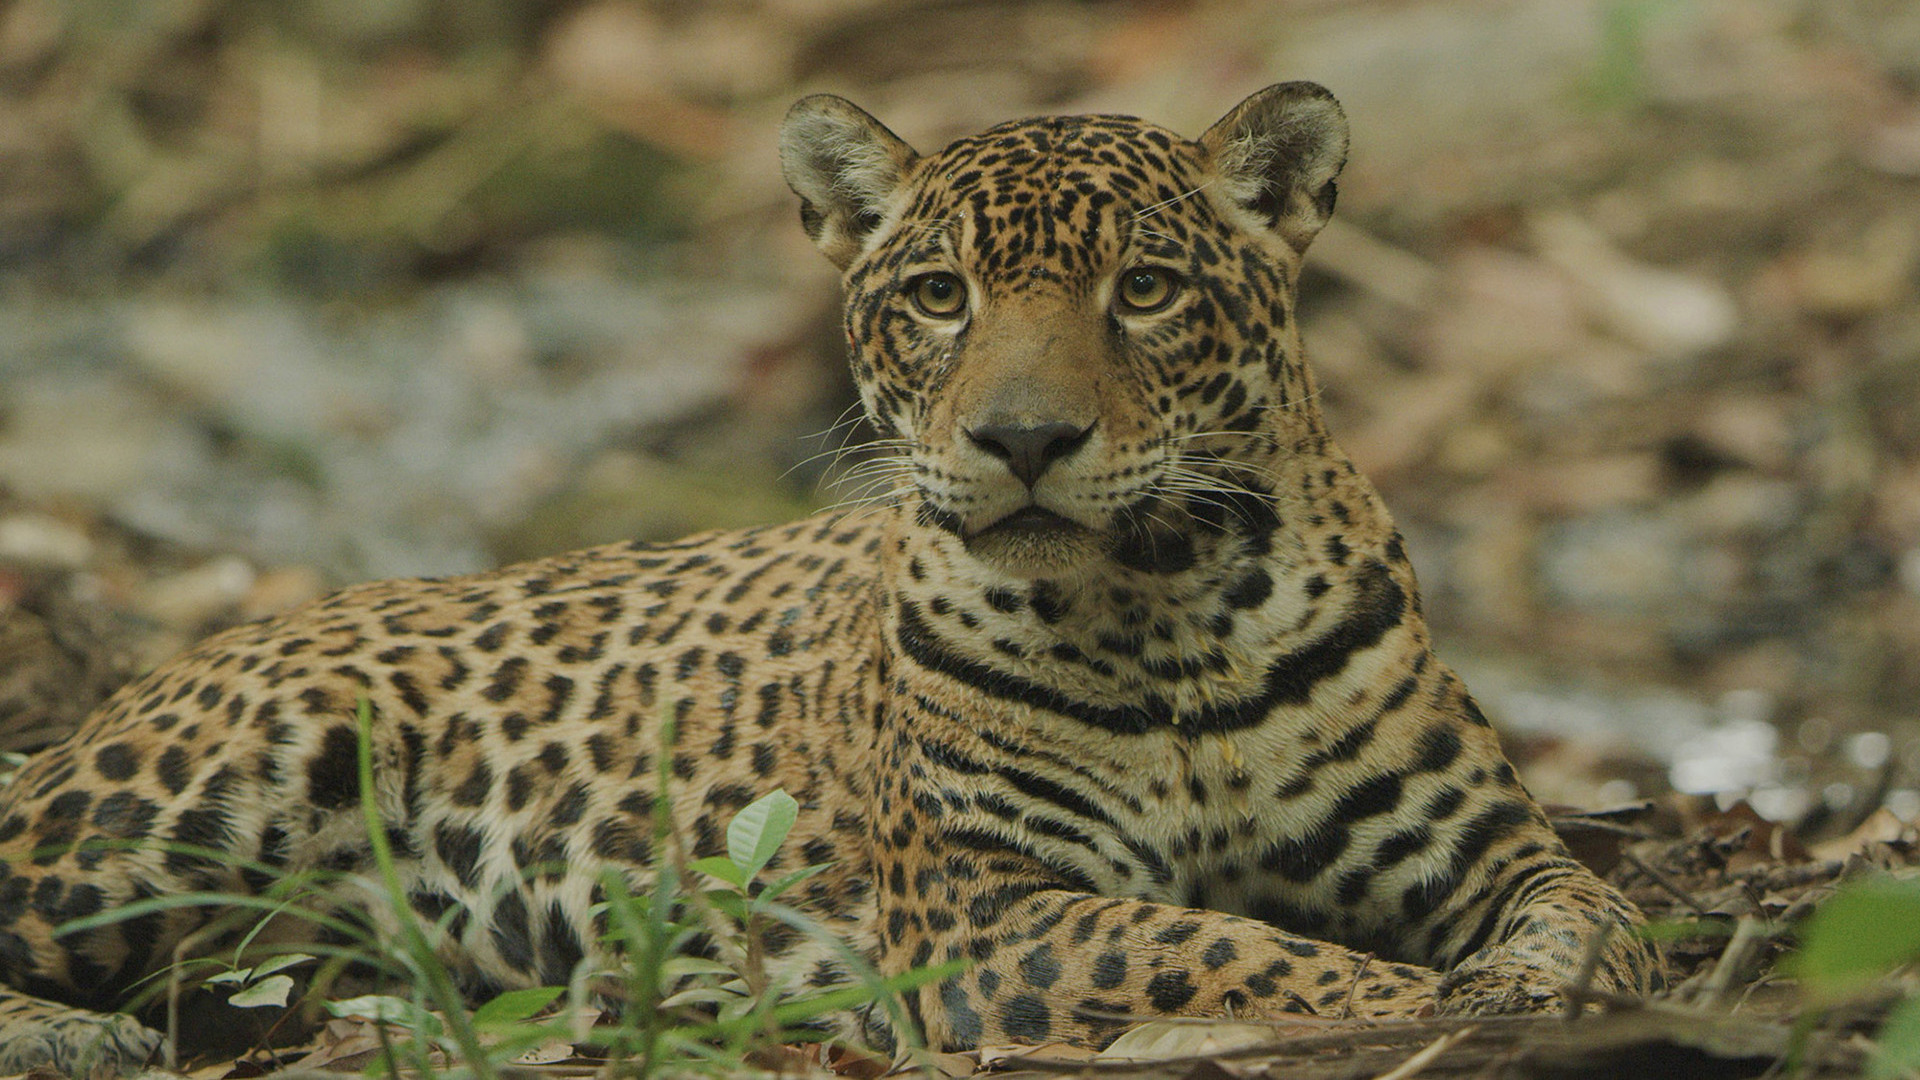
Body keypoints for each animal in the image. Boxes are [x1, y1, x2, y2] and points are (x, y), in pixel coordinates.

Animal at [0, 83, 1655, 1076]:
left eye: (1144, 289)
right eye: (939, 296)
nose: (1024, 439)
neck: (1168, 606)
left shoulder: (1492, 849)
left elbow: (1593, 919)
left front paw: (1533, 995)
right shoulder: (991, 909)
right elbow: (1240, 953)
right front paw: (1424, 1008)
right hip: (189, 801)